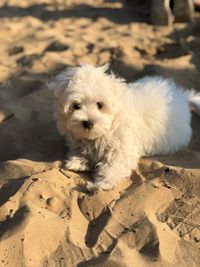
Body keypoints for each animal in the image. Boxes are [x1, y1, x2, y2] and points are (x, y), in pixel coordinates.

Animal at [50, 64, 200, 192]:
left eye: (100, 105)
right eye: (76, 106)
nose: (88, 123)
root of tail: (182, 97)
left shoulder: (121, 150)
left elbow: (112, 167)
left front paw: (101, 184)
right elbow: (80, 149)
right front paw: (77, 161)